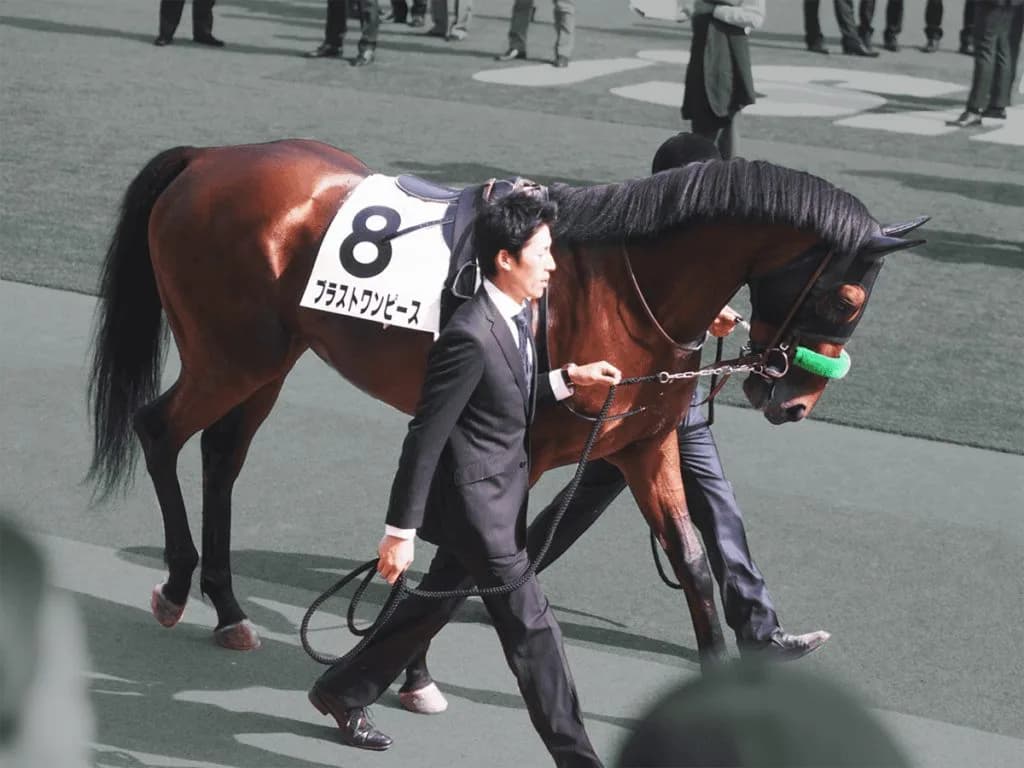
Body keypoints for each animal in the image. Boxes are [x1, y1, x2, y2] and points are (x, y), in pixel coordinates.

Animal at [86, 139, 925, 670]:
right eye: (848, 298)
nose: (795, 399)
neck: (627, 288)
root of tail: (209, 159)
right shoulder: (529, 447)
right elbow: (488, 554)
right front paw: (406, 669)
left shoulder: (642, 444)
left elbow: (691, 559)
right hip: (231, 355)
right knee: (158, 429)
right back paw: (178, 588)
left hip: (271, 360)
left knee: (222, 456)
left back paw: (228, 609)